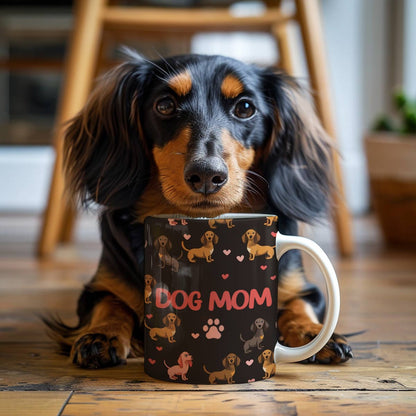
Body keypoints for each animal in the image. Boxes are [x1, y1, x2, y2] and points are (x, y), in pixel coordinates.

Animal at [43, 49, 352, 368]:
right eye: (165, 105)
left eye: (245, 107)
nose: (206, 174)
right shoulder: (101, 285)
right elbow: (111, 302)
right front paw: (101, 335)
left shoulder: (301, 286)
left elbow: (299, 302)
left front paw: (313, 332)